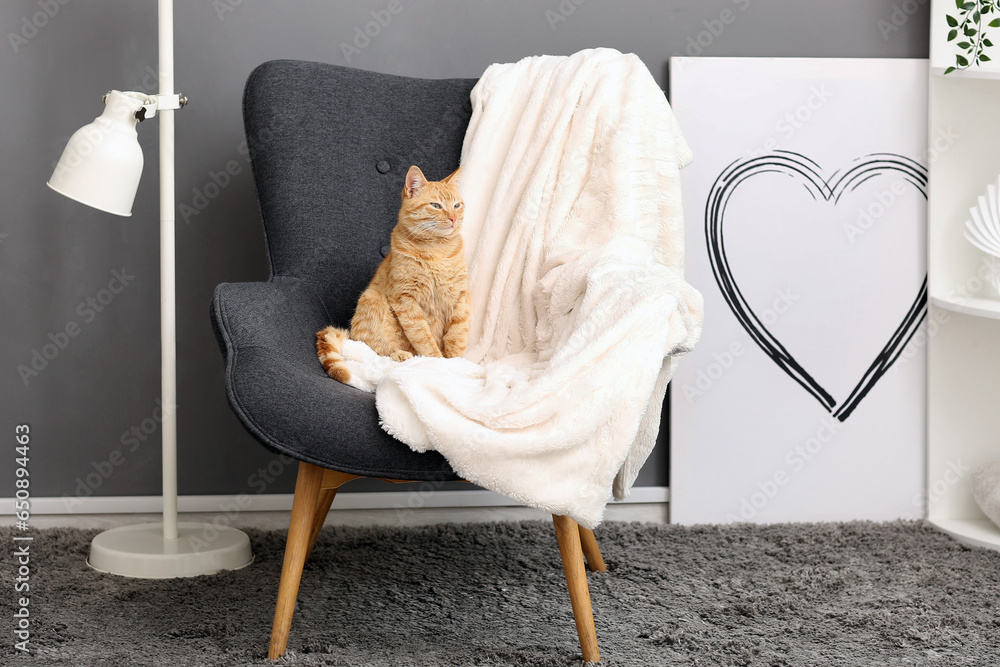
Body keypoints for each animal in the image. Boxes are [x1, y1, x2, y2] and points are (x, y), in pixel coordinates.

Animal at [316, 164, 468, 384]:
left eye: (457, 205)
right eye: (436, 206)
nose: (454, 218)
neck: (437, 248)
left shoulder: (460, 296)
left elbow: (457, 336)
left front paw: (458, 364)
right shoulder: (405, 298)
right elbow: (422, 335)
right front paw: (438, 364)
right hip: (372, 298)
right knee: (374, 350)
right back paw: (401, 355)